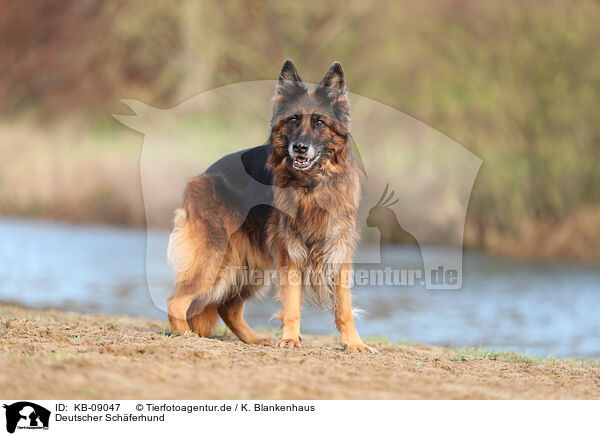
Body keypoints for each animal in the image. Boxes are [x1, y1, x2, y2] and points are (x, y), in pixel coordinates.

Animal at [168, 59, 376, 352]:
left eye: (319, 122)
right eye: (293, 120)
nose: (299, 148)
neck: (310, 186)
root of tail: (204, 174)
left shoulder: (337, 251)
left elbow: (344, 307)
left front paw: (354, 344)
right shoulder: (290, 253)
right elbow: (291, 303)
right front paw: (290, 338)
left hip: (251, 267)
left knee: (228, 308)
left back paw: (255, 339)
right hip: (216, 259)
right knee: (176, 300)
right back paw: (183, 334)